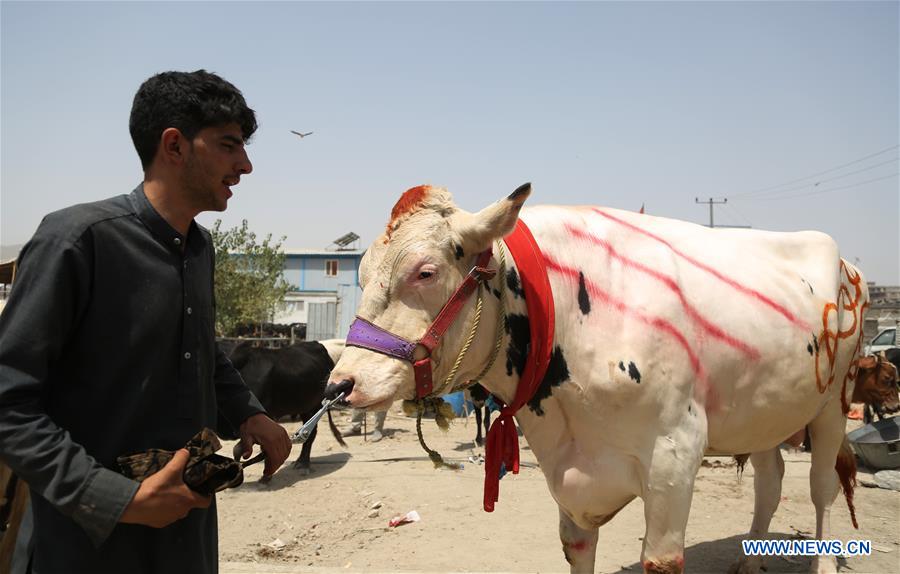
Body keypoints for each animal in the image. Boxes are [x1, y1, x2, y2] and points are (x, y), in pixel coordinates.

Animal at [328, 186, 864, 574]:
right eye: (361, 274)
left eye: (424, 272)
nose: (339, 385)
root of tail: (848, 266)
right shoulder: (568, 469)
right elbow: (576, 545)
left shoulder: (675, 453)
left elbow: (661, 559)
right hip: (764, 411)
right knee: (770, 482)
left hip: (833, 403)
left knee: (821, 489)